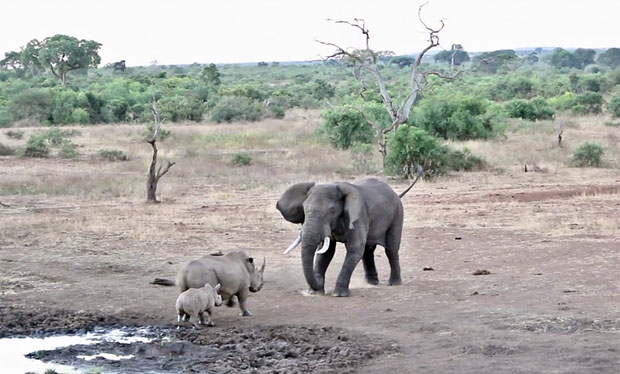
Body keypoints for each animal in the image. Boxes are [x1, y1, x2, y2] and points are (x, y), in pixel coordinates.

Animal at [276, 172, 422, 298]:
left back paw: (393, 283)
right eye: (304, 209)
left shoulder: (358, 216)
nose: (318, 285)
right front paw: (314, 293)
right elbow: (325, 253)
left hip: (397, 213)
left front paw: (338, 295)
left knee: (391, 249)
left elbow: (354, 249)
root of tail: (395, 193)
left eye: (332, 210)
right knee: (367, 251)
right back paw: (372, 283)